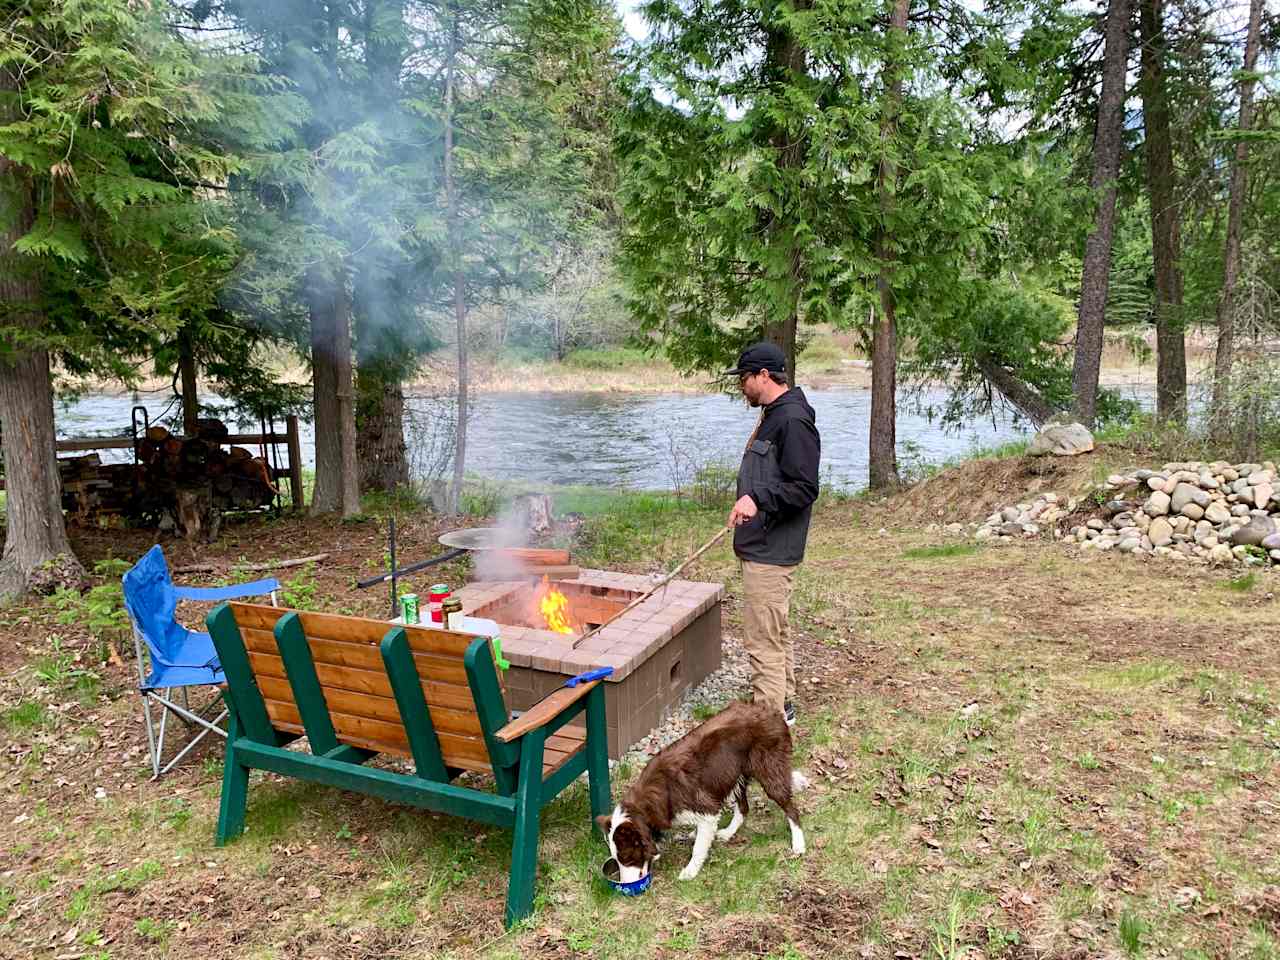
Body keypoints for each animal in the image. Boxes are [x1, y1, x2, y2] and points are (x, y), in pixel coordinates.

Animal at [596, 701, 798, 885]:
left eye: (627, 858)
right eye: (617, 860)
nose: (623, 884)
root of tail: (771, 710)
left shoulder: (707, 809)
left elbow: (699, 847)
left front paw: (690, 871)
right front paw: (696, 833)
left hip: (769, 771)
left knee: (791, 809)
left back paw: (798, 845)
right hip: (735, 775)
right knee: (743, 807)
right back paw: (728, 833)